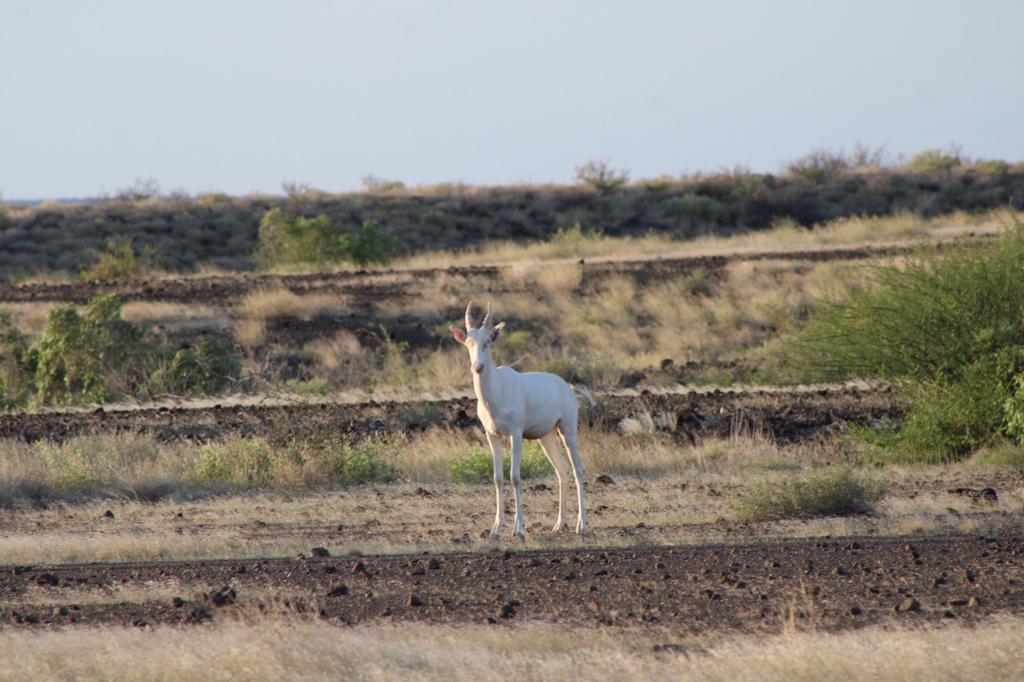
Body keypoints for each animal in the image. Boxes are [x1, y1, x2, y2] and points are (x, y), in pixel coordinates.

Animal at [451, 302, 592, 538]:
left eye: (488, 341)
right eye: (469, 342)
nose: (477, 367)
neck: (498, 388)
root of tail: (567, 387)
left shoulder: (515, 434)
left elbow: (515, 476)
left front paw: (518, 528)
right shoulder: (492, 435)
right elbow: (498, 478)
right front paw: (496, 528)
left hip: (568, 429)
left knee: (578, 469)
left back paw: (581, 525)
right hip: (547, 437)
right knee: (561, 469)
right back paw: (559, 524)